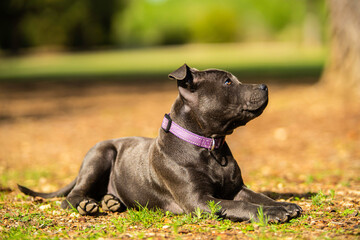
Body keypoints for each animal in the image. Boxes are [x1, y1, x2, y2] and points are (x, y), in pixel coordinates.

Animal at [18, 63, 302, 221]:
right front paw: (274, 214)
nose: (265, 86)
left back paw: (111, 202)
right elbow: (240, 205)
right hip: (101, 154)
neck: (209, 146)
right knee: (71, 196)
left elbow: (259, 197)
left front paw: (284, 205)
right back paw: (88, 205)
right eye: (227, 81)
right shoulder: (199, 200)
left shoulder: (235, 188)